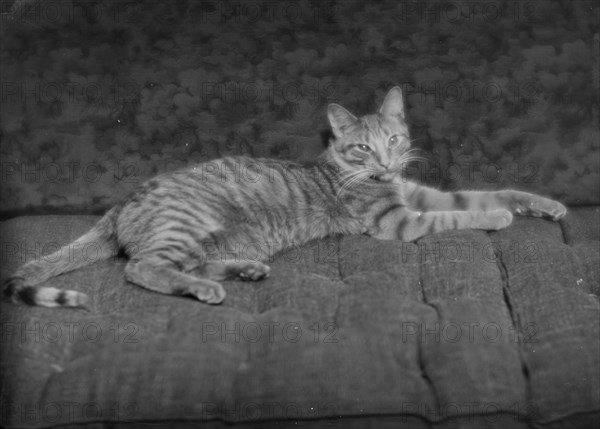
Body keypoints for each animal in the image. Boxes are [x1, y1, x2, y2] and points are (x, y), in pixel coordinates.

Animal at [3, 87, 568, 308]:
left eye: (393, 140)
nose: (386, 162)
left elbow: (486, 194)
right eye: (362, 147)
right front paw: (500, 219)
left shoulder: (421, 194)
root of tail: (118, 205)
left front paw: (543, 205)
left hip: (208, 238)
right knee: (142, 268)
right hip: (188, 223)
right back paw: (207, 287)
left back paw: (244, 271)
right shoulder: (399, 223)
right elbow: (460, 219)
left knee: (178, 263)